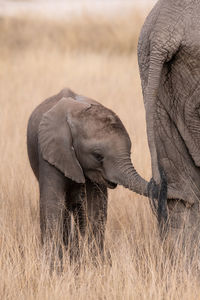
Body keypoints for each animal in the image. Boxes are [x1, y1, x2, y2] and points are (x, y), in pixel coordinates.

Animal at [27, 87, 148, 260]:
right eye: (98, 156)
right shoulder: (49, 151)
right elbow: (53, 204)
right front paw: (53, 264)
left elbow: (95, 207)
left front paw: (94, 261)